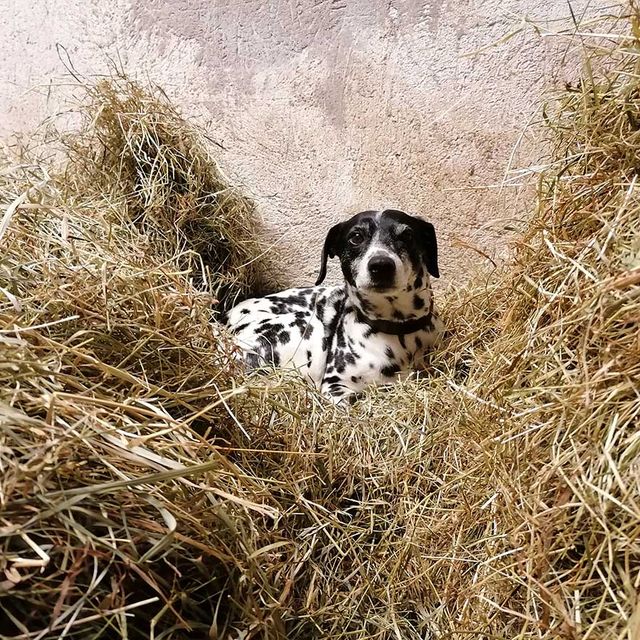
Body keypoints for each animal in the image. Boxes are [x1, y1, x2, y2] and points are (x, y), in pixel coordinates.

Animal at [226, 209, 444, 400]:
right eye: (356, 237)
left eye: (407, 235)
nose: (381, 265)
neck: (398, 332)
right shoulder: (335, 386)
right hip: (309, 327)